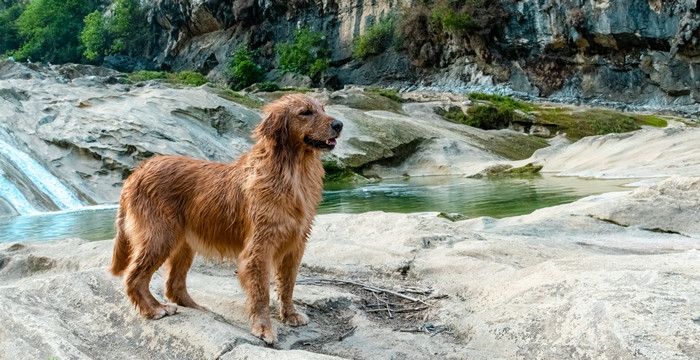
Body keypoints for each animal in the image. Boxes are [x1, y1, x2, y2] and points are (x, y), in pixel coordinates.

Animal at [108, 93, 344, 344]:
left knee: (173, 285)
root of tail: (136, 172)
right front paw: (264, 328)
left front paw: (290, 315)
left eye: (323, 109)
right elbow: (261, 293)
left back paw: (194, 307)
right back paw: (154, 309)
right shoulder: (259, 247)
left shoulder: (295, 244)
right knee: (134, 278)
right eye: (305, 112)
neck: (293, 170)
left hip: (183, 244)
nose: (339, 124)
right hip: (160, 236)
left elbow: (288, 285)